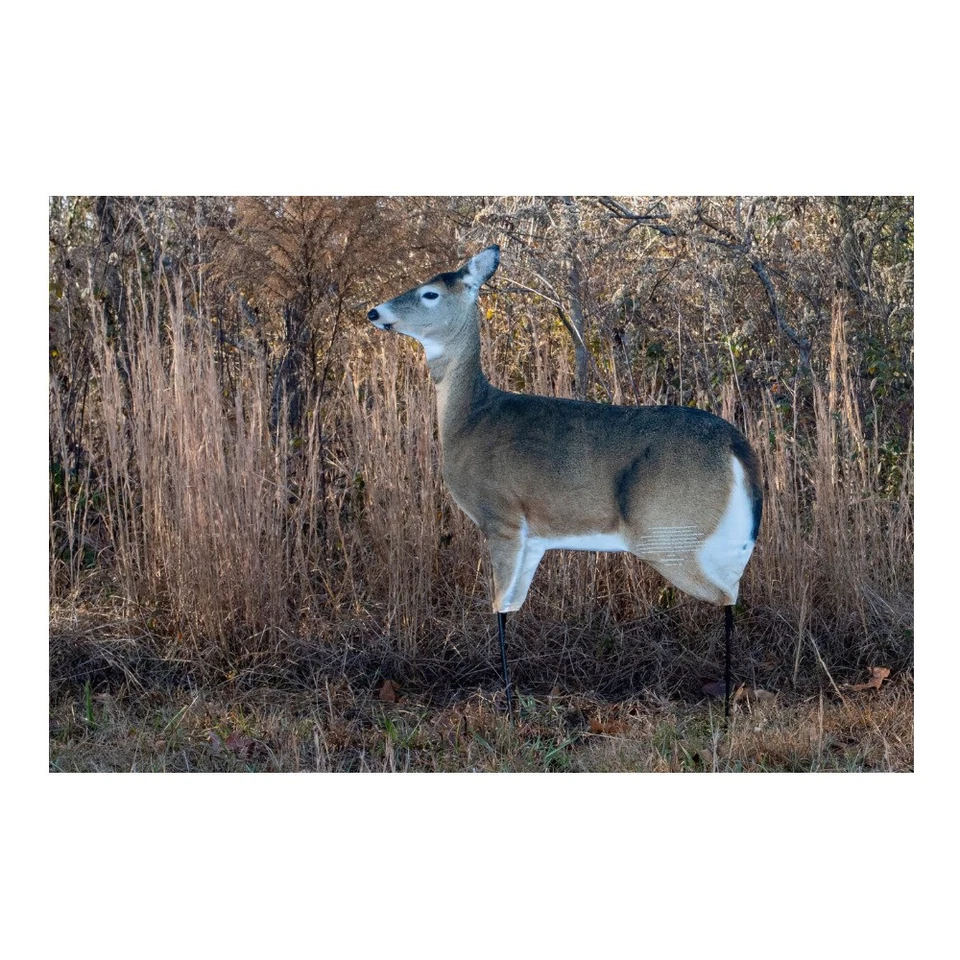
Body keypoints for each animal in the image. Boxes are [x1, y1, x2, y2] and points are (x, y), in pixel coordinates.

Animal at [367, 245, 762, 718]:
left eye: (430, 294)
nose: (374, 311)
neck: (468, 419)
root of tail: (738, 447)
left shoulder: (500, 515)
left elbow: (498, 605)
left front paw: (509, 707)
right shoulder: (535, 534)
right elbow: (512, 603)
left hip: (666, 530)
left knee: (726, 594)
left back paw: (725, 709)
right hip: (717, 535)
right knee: (734, 585)